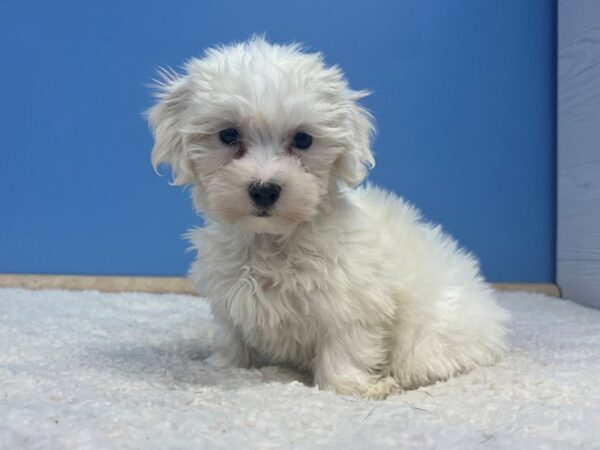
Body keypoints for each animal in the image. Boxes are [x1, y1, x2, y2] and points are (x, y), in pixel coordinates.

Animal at [148, 37, 508, 400]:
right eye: (228, 135)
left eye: (303, 139)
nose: (265, 189)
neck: (271, 241)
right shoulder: (229, 296)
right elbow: (231, 337)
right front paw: (224, 366)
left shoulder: (353, 302)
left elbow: (345, 346)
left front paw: (346, 387)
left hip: (427, 335)